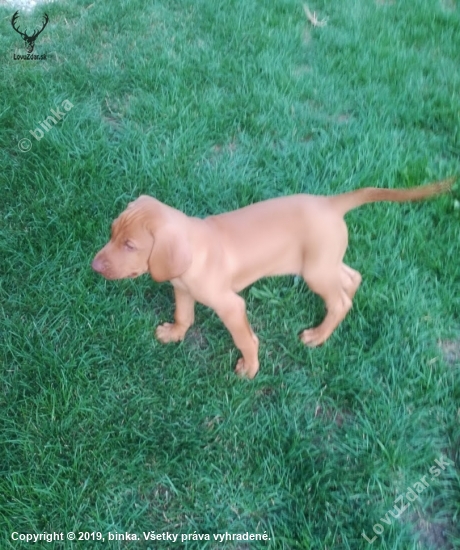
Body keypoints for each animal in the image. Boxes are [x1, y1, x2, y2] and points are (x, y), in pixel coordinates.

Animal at [92, 177, 454, 378]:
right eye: (111, 233)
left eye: (130, 245)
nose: (94, 265)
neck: (196, 247)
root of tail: (331, 204)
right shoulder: (181, 288)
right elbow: (184, 314)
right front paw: (174, 334)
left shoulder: (231, 306)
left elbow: (245, 339)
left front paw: (250, 369)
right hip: (324, 262)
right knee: (351, 278)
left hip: (315, 270)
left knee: (340, 299)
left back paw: (318, 336)